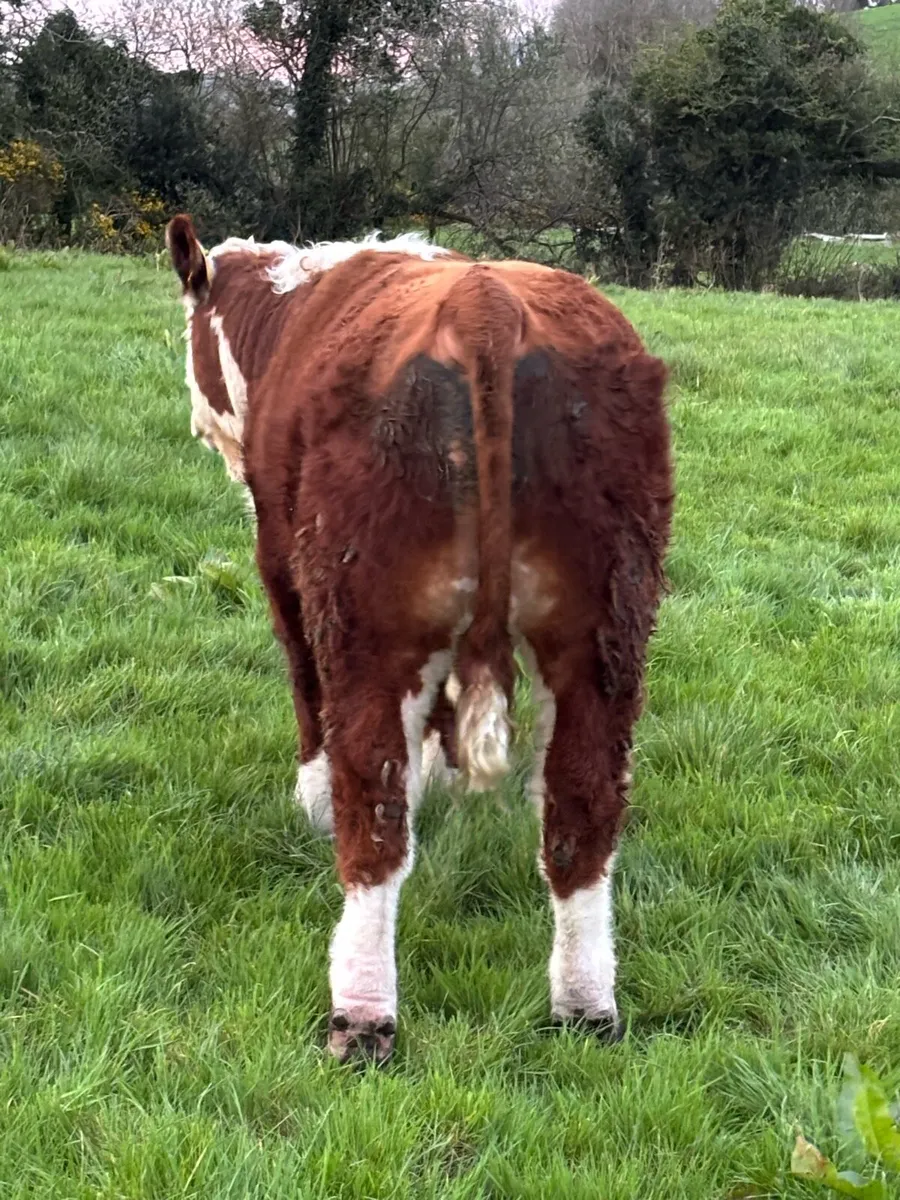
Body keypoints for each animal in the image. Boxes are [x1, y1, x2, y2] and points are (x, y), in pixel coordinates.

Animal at [166, 214, 674, 1066]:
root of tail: (486, 305)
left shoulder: (278, 558)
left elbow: (305, 687)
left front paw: (310, 797)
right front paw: (440, 776)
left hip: (365, 618)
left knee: (371, 812)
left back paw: (363, 1016)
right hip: (606, 628)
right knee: (583, 809)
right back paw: (585, 1004)